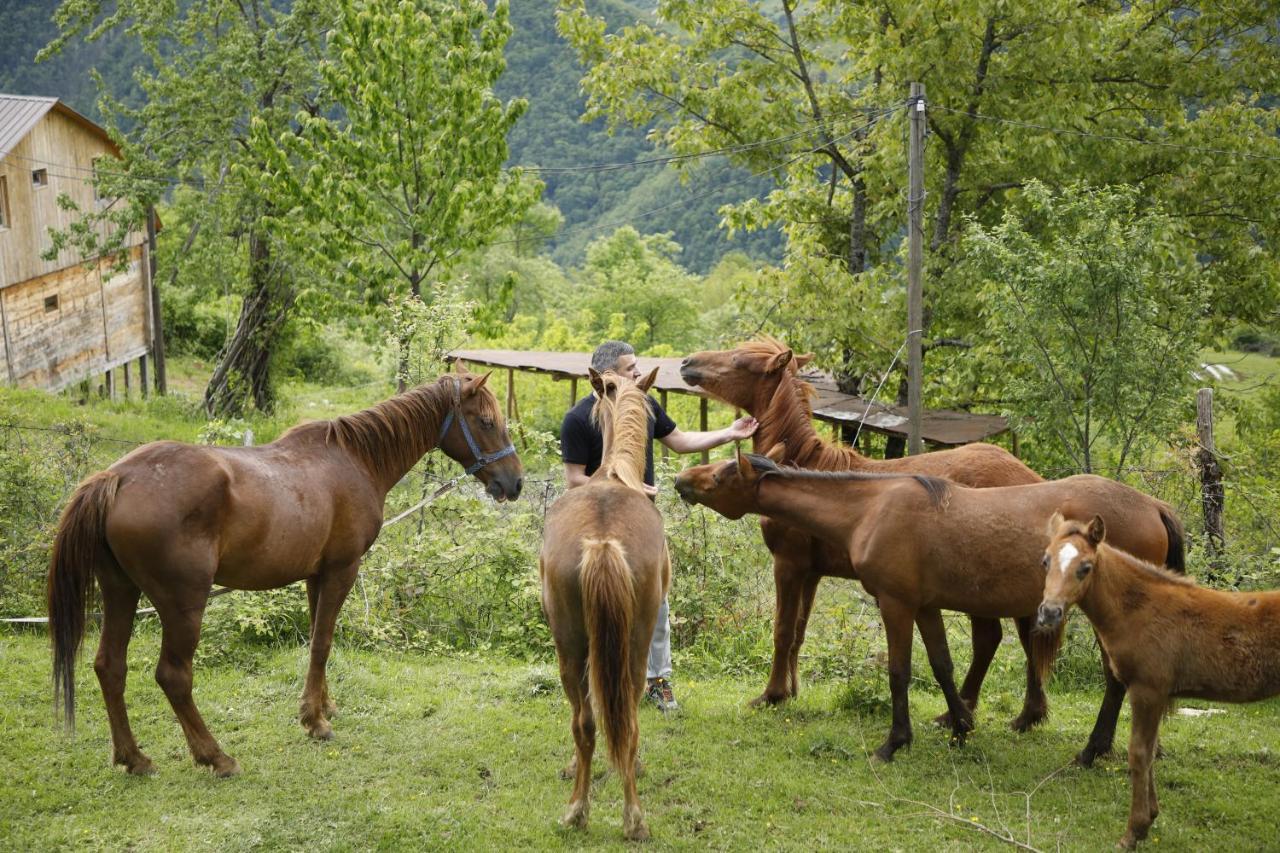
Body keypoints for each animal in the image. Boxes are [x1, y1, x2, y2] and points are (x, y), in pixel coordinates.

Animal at [47, 361, 519, 773]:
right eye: (486, 422)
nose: (514, 483)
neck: (355, 460)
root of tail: (116, 478)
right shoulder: (342, 570)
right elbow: (323, 643)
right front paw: (315, 721)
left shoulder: (316, 576)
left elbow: (315, 640)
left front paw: (322, 706)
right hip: (183, 606)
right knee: (173, 676)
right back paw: (215, 757)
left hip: (121, 592)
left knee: (110, 667)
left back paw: (134, 758)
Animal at [542, 366, 675, 835]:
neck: (615, 474)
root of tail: (602, 542)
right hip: (627, 643)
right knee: (622, 720)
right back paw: (629, 817)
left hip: (572, 645)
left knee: (588, 721)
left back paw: (582, 810)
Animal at [1034, 514, 1280, 845]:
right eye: (1046, 561)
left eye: (1085, 567)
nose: (1049, 612)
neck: (1142, 609)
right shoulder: (1154, 694)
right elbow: (1149, 753)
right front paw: (1149, 818)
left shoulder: (1148, 690)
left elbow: (1139, 754)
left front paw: (1133, 832)